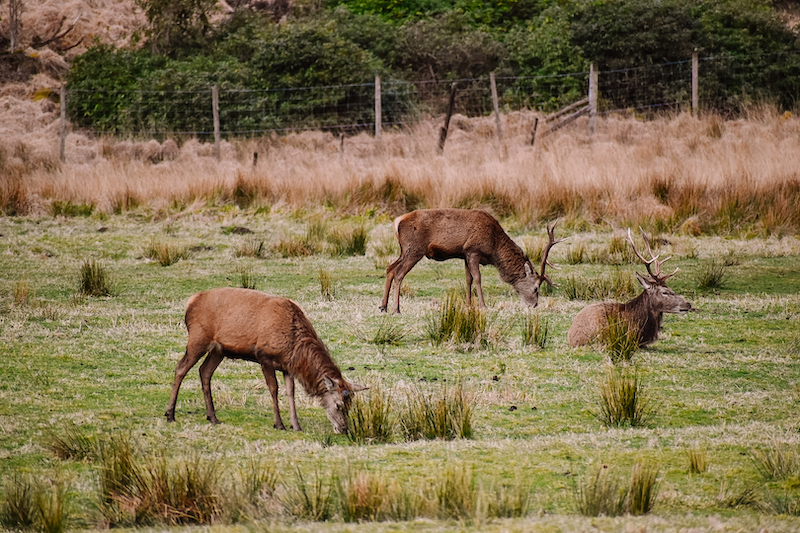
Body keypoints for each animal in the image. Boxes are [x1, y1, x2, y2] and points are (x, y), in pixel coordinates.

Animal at [170, 286, 370, 432]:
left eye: (350, 406)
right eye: (338, 405)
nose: (344, 429)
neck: (293, 348)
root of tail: (191, 301)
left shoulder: (288, 366)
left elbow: (290, 392)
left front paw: (296, 425)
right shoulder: (264, 356)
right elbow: (274, 389)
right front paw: (279, 424)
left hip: (219, 350)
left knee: (204, 371)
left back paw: (212, 417)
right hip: (198, 338)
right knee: (181, 368)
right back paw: (170, 414)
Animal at [380, 208, 564, 314]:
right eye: (536, 288)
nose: (534, 305)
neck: (494, 247)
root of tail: (397, 222)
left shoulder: (464, 254)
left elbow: (468, 279)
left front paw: (469, 305)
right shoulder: (473, 250)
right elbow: (477, 278)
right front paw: (483, 305)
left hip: (405, 250)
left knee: (390, 268)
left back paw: (383, 306)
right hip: (414, 249)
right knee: (399, 274)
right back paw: (396, 309)